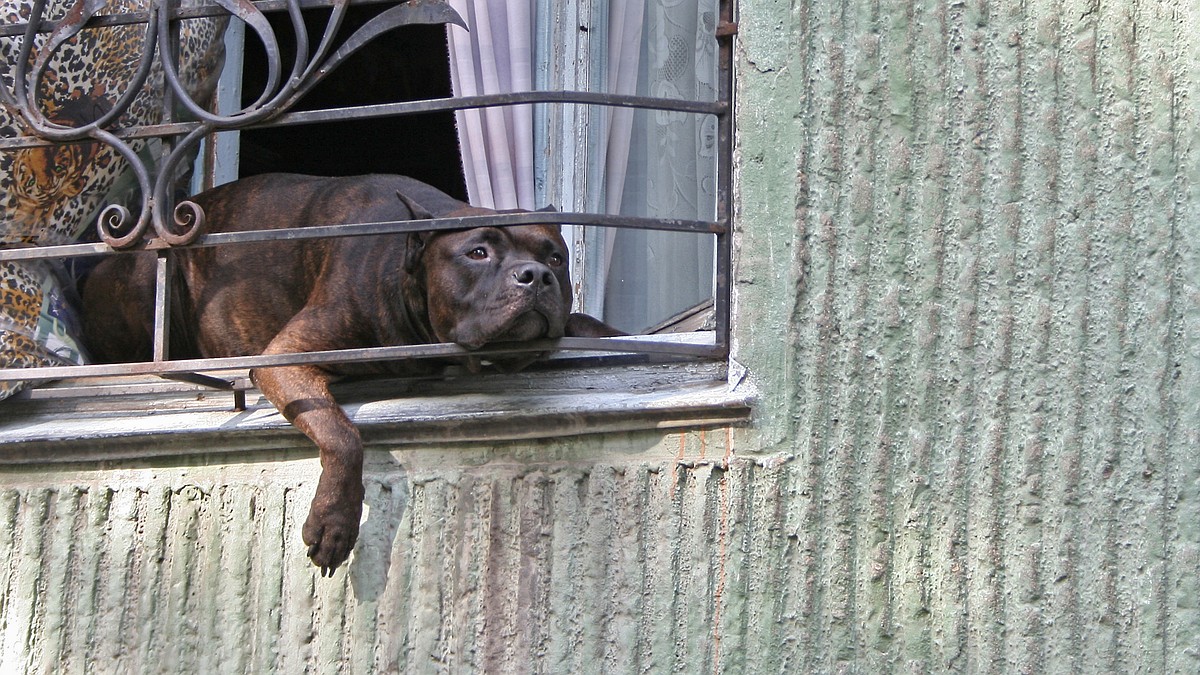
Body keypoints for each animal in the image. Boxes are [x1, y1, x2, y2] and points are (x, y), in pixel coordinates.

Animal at [83, 172, 619, 571]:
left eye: (556, 257)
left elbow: (588, 324)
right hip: (149, 277)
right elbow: (342, 433)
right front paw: (334, 521)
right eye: (477, 253)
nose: (536, 275)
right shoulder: (286, 357)